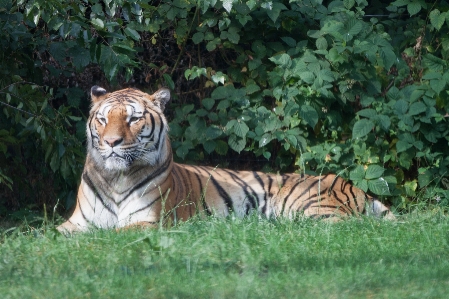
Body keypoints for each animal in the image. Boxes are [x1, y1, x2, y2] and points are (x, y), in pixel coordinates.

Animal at [57, 86, 396, 234]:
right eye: (103, 119)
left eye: (133, 119)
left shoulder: (148, 222)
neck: (116, 177)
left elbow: (112, 235)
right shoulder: (76, 222)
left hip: (310, 210)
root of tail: (353, 186)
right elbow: (51, 236)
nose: (112, 142)